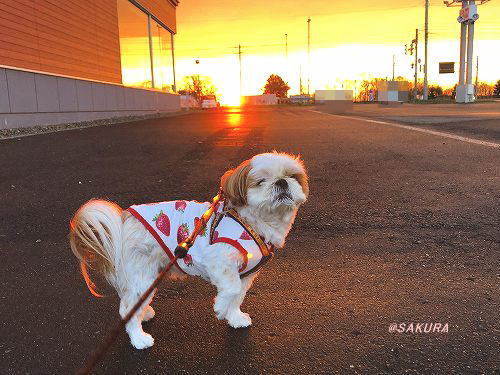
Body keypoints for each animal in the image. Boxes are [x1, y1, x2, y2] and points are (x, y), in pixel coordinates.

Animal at [68, 152, 306, 350]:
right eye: (261, 181)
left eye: (292, 175)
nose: (282, 182)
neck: (254, 222)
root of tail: (123, 221)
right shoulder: (219, 260)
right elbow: (231, 289)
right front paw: (220, 308)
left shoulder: (247, 274)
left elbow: (238, 296)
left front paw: (235, 318)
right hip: (142, 275)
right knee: (127, 309)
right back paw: (139, 339)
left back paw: (144, 314)